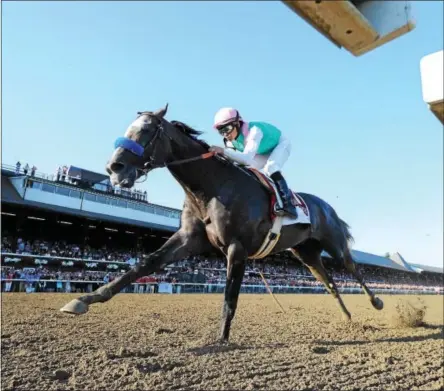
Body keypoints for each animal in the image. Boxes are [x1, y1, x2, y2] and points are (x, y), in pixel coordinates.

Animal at [60, 104, 384, 344]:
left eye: (147, 130)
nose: (114, 167)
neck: (211, 187)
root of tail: (326, 206)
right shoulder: (188, 239)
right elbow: (143, 265)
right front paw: (85, 299)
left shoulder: (236, 248)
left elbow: (230, 296)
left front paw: (221, 340)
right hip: (306, 254)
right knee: (329, 282)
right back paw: (347, 317)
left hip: (334, 244)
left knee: (352, 269)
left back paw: (377, 303)